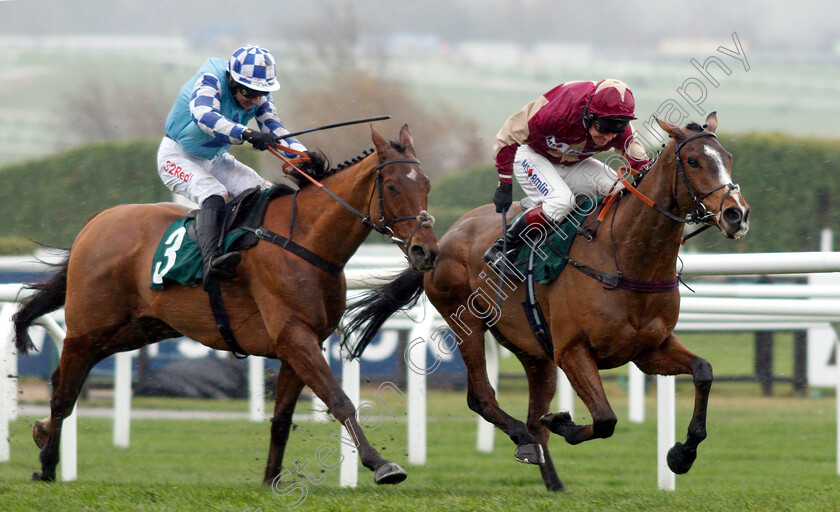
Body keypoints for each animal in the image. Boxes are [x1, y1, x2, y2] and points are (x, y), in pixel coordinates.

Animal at [13, 124, 440, 484]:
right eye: (392, 186)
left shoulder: (302, 343)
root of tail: (97, 221)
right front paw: (381, 464)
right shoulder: (293, 336)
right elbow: (341, 401)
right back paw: (47, 466)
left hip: (139, 327)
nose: (427, 251)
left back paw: (42, 433)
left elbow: (282, 417)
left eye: (427, 185)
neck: (305, 241)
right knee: (65, 390)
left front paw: (271, 479)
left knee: (65, 378)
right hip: (89, 324)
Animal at [342, 114, 748, 490]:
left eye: (728, 157)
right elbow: (605, 419)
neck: (625, 257)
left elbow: (704, 371)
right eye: (694, 161)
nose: (736, 213)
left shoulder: (649, 349)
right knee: (483, 398)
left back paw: (552, 479)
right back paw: (524, 440)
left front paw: (682, 454)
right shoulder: (573, 351)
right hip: (466, 323)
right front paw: (563, 422)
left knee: (532, 414)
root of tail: (446, 236)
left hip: (534, 351)